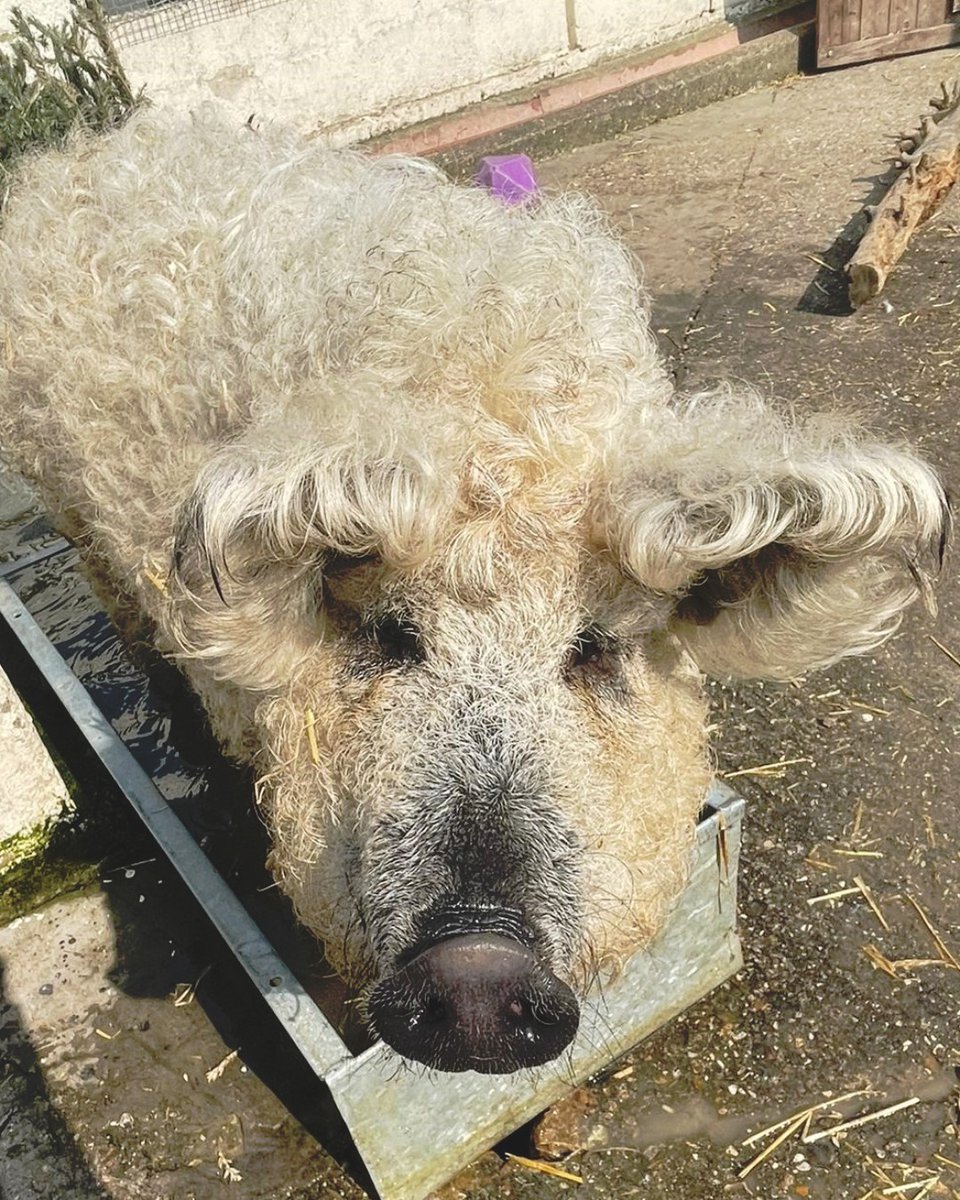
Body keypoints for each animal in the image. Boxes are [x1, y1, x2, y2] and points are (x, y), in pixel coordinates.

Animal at [0, 108, 945, 1075]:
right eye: (390, 635)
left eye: (593, 648)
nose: (477, 968)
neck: (493, 389)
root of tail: (88, 150)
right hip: (73, 515)